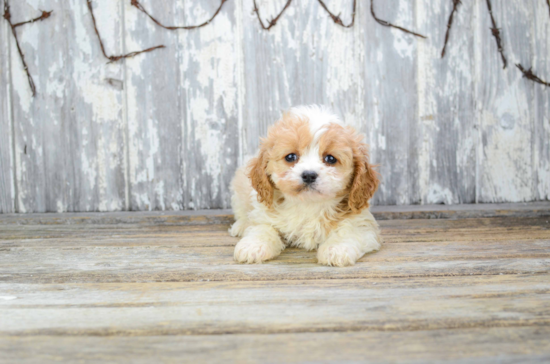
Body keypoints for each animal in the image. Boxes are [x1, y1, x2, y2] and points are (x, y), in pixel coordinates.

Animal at [231, 105, 382, 268]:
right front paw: (252, 246)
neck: (308, 204)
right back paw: (240, 226)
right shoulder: (263, 214)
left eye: (330, 159)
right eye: (291, 157)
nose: (309, 175)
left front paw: (336, 249)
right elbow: (262, 228)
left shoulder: (362, 223)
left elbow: (349, 232)